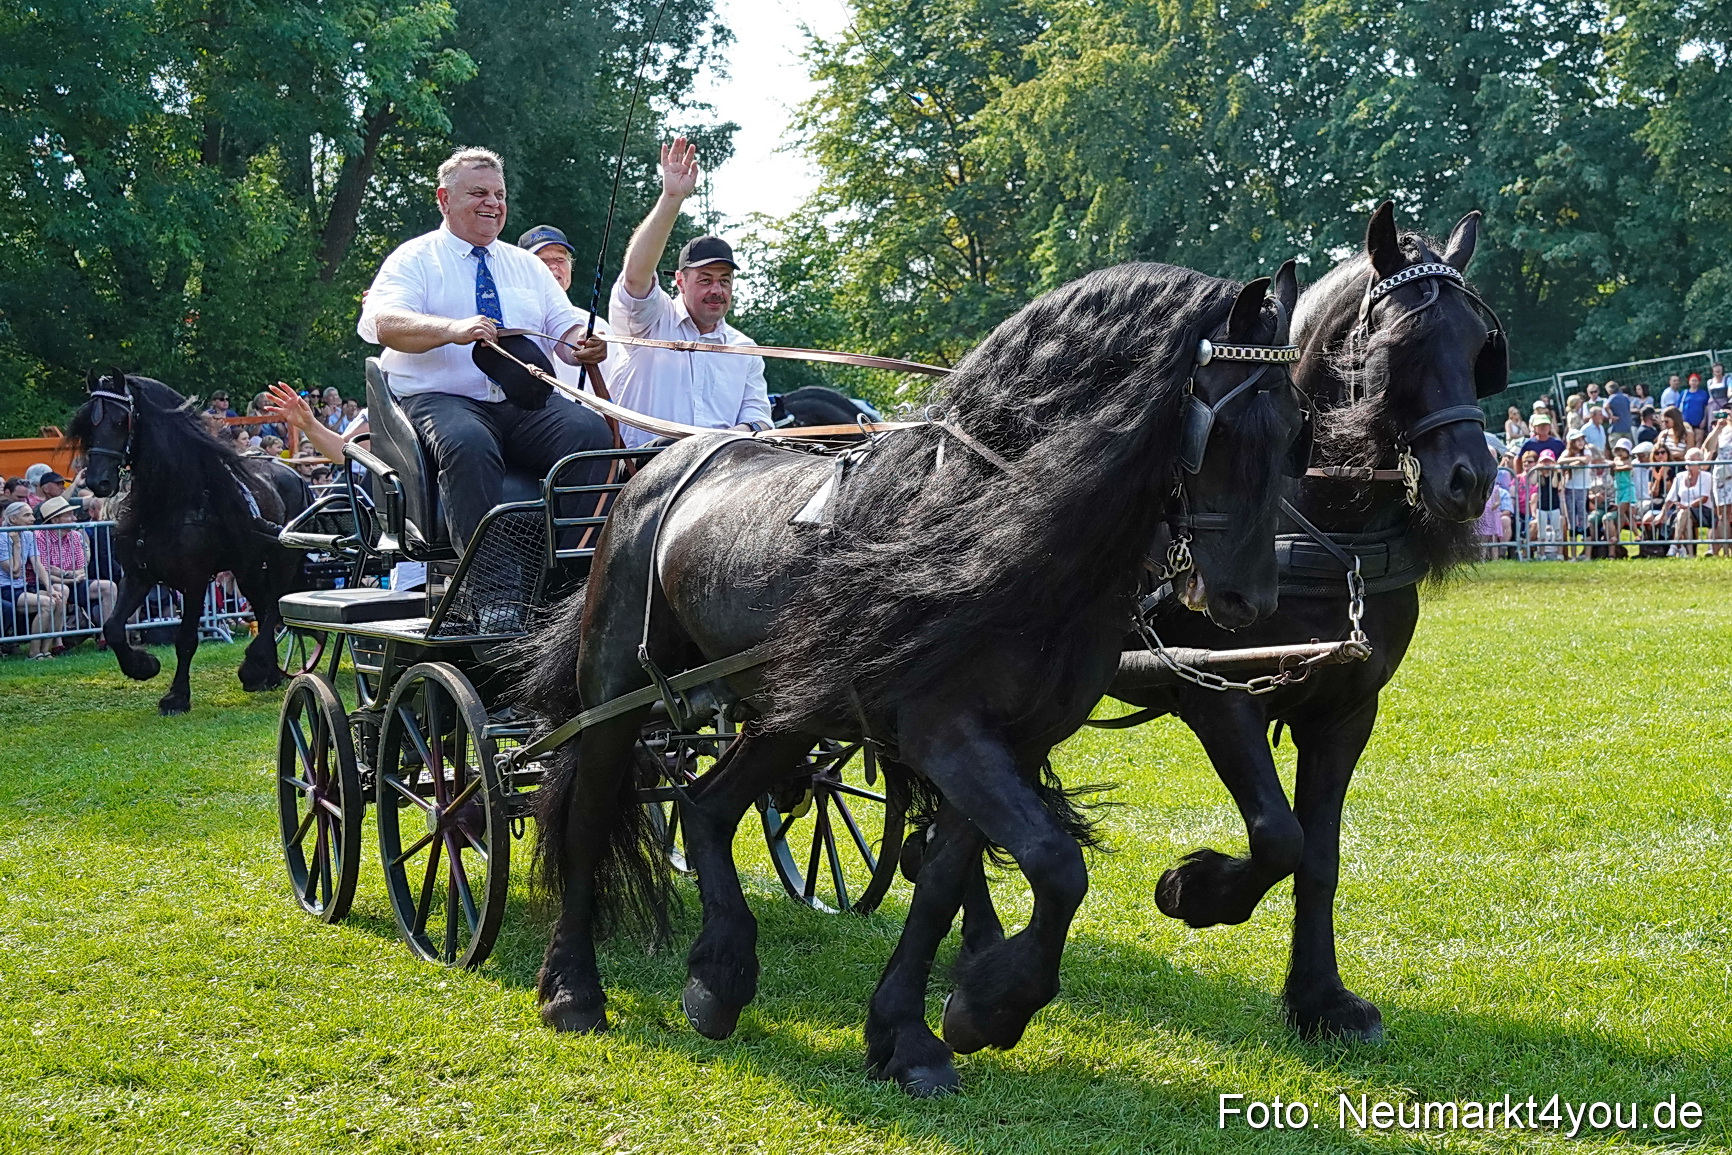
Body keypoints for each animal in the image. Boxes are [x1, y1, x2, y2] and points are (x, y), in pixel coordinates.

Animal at [65, 371, 311, 714]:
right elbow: (112, 628)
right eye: (89, 422)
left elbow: (185, 640)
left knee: (276, 604)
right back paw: (268, 673)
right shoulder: (139, 574)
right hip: (247, 567)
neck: (166, 503)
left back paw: (254, 666)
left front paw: (177, 696)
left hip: (282, 561)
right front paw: (143, 666)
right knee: (264, 608)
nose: (97, 482)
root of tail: (294, 474)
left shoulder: (195, 581)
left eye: (118, 421)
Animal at [520, 260, 1309, 1096]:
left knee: (705, 807)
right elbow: (1057, 867)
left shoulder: (1012, 744)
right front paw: (989, 1007)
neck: (994, 519)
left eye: (1297, 428)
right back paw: (573, 986)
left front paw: (909, 1032)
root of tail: (654, 470)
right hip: (613, 691)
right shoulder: (946, 734)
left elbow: (941, 885)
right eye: (1224, 428)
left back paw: (719, 974)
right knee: (588, 815)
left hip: (787, 712)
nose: (1249, 601)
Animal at [943, 203, 1502, 1044]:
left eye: (1477, 345)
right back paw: (978, 943)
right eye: (1398, 347)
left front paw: (1320, 998)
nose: (1470, 478)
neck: (1322, 528)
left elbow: (1320, 856)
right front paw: (1196, 889)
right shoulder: (1219, 695)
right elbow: (1278, 834)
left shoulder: (1346, 710)